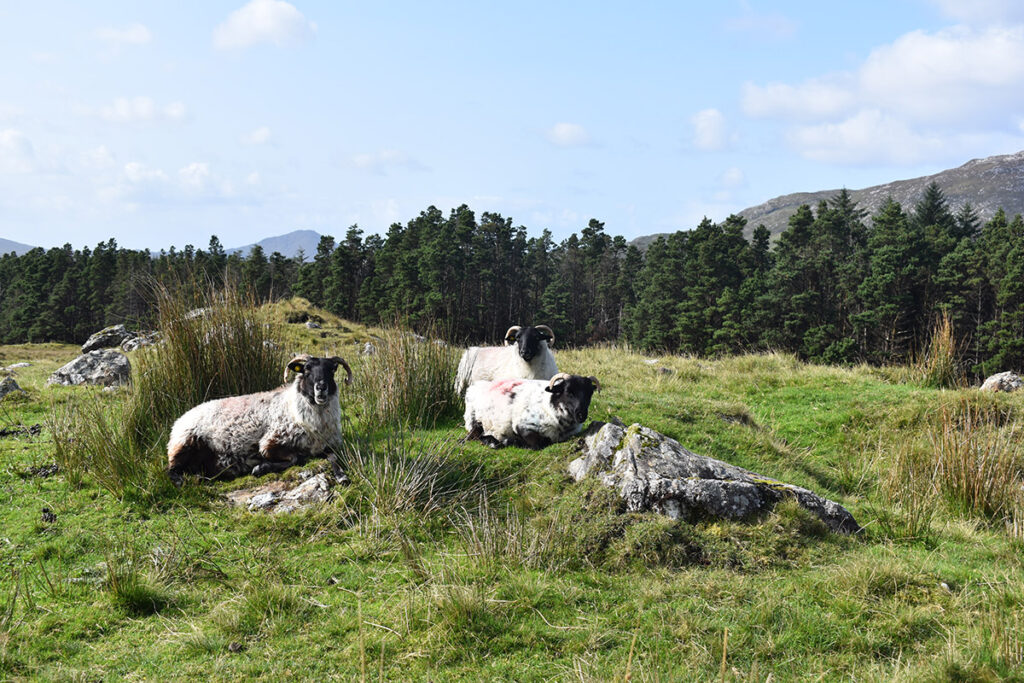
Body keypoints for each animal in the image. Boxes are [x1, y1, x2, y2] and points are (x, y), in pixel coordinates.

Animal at [165, 356, 354, 483]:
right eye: (306, 369)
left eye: (332, 369)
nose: (321, 387)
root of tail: (179, 420)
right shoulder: (270, 443)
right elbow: (294, 458)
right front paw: (260, 468)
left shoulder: (328, 444)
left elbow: (333, 457)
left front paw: (341, 476)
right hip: (185, 443)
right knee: (171, 470)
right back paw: (181, 481)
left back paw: (202, 477)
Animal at [464, 370, 598, 450]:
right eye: (568, 391)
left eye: (590, 393)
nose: (581, 415)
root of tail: (474, 386)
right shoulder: (522, 426)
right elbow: (537, 443)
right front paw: (512, 442)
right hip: (474, 422)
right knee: (472, 437)